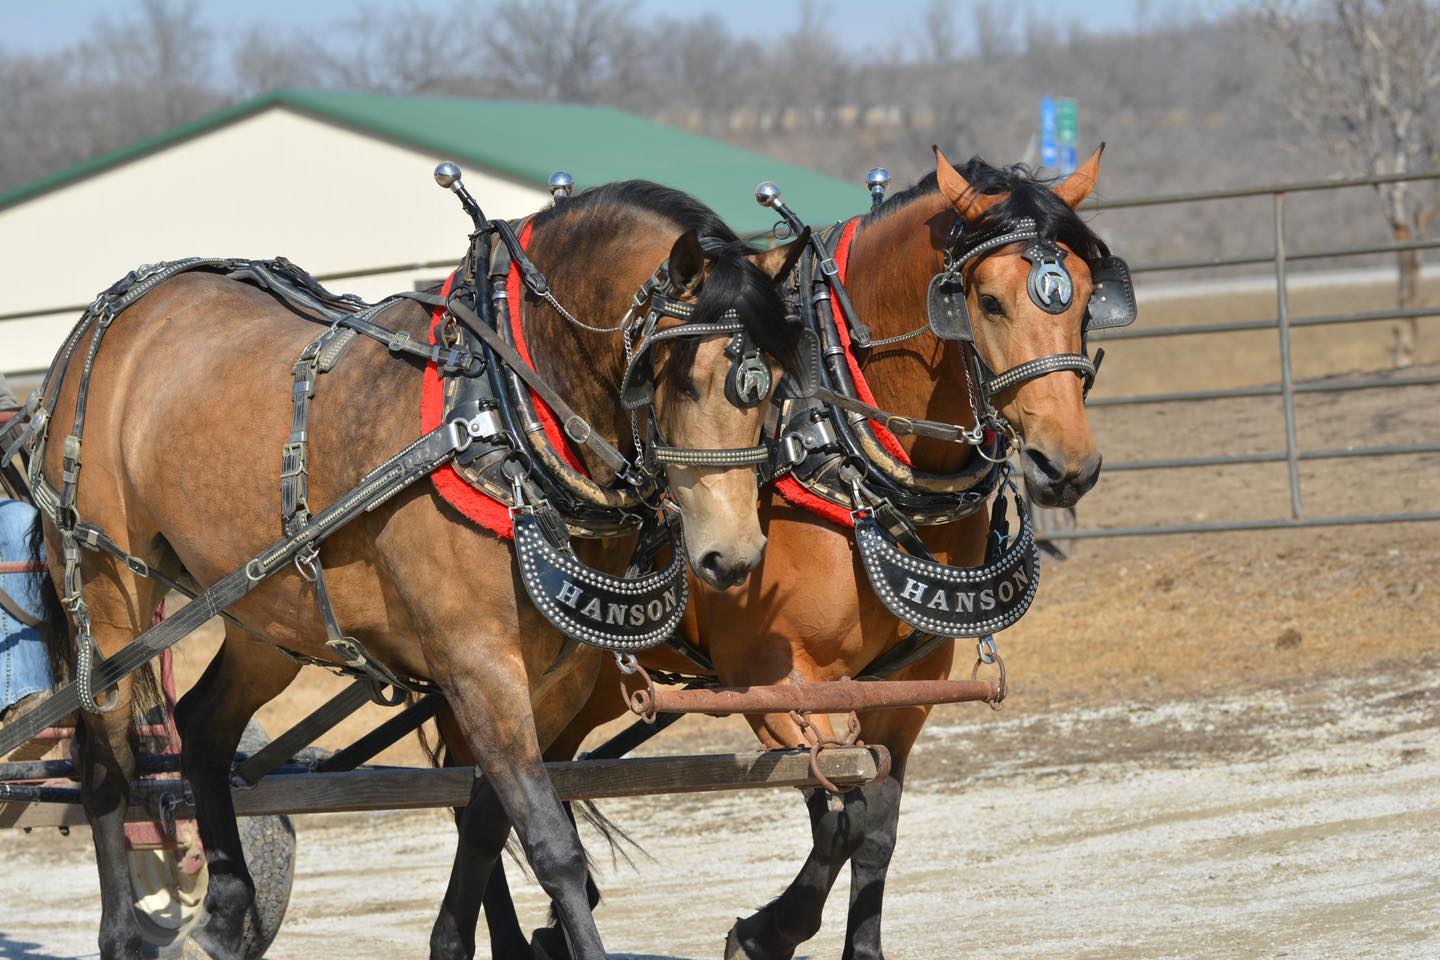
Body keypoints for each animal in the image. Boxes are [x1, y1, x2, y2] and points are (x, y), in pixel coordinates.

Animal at [22, 179, 809, 960]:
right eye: (675, 377)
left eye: (774, 383)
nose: (733, 554)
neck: (497, 414)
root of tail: (116, 310)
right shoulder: (478, 664)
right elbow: (552, 845)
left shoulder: (555, 679)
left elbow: (490, 826)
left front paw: (454, 941)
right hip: (106, 584)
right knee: (106, 757)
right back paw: (125, 933)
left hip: (267, 609)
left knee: (204, 729)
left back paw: (221, 920)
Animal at [473, 147, 1118, 959]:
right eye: (990, 301)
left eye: (1087, 298)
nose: (1067, 465)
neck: (837, 449)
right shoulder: (779, 682)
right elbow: (837, 813)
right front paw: (765, 932)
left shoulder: (904, 691)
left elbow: (874, 830)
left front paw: (848, 943)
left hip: (574, 686)